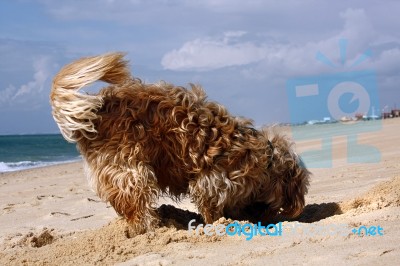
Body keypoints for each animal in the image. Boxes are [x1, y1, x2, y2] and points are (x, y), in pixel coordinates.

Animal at [50, 53, 310, 232]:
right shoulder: (210, 183)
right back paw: (150, 227)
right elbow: (213, 207)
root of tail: (96, 110)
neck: (267, 162)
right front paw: (220, 222)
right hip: (131, 170)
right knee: (136, 204)